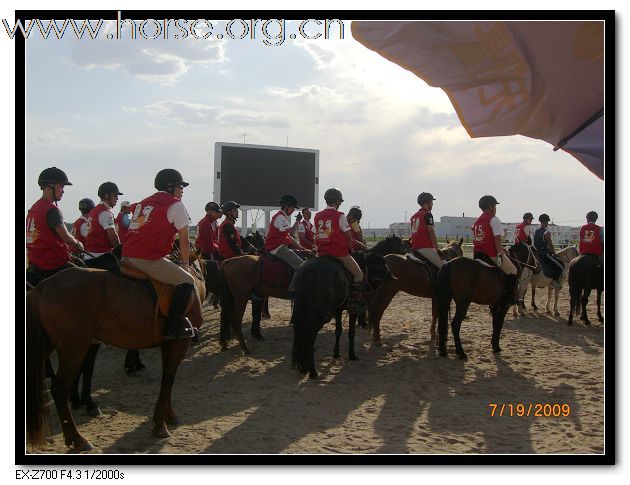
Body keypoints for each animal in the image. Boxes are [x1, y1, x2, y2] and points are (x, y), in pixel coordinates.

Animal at [25, 260, 207, 452]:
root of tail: (42, 287)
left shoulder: (169, 344)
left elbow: (168, 379)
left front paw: (169, 416)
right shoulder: (180, 343)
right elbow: (168, 380)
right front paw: (160, 425)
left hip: (46, 348)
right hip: (73, 350)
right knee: (59, 389)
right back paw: (78, 439)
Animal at [292, 251, 396, 380]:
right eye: (381, 273)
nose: (370, 299)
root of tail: (308, 271)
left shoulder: (338, 310)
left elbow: (339, 330)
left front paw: (336, 353)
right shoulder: (353, 311)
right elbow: (351, 332)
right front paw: (352, 354)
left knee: (302, 334)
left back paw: (303, 367)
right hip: (319, 316)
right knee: (309, 337)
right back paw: (312, 371)